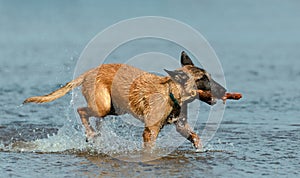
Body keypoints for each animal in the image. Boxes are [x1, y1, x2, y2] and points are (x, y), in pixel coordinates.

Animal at [24, 51, 226, 150]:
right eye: (204, 80)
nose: (224, 91)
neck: (171, 92)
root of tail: (88, 72)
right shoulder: (150, 132)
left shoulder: (181, 125)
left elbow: (195, 136)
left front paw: (199, 148)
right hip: (104, 106)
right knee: (81, 111)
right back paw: (90, 134)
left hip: (113, 108)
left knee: (95, 118)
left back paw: (97, 135)